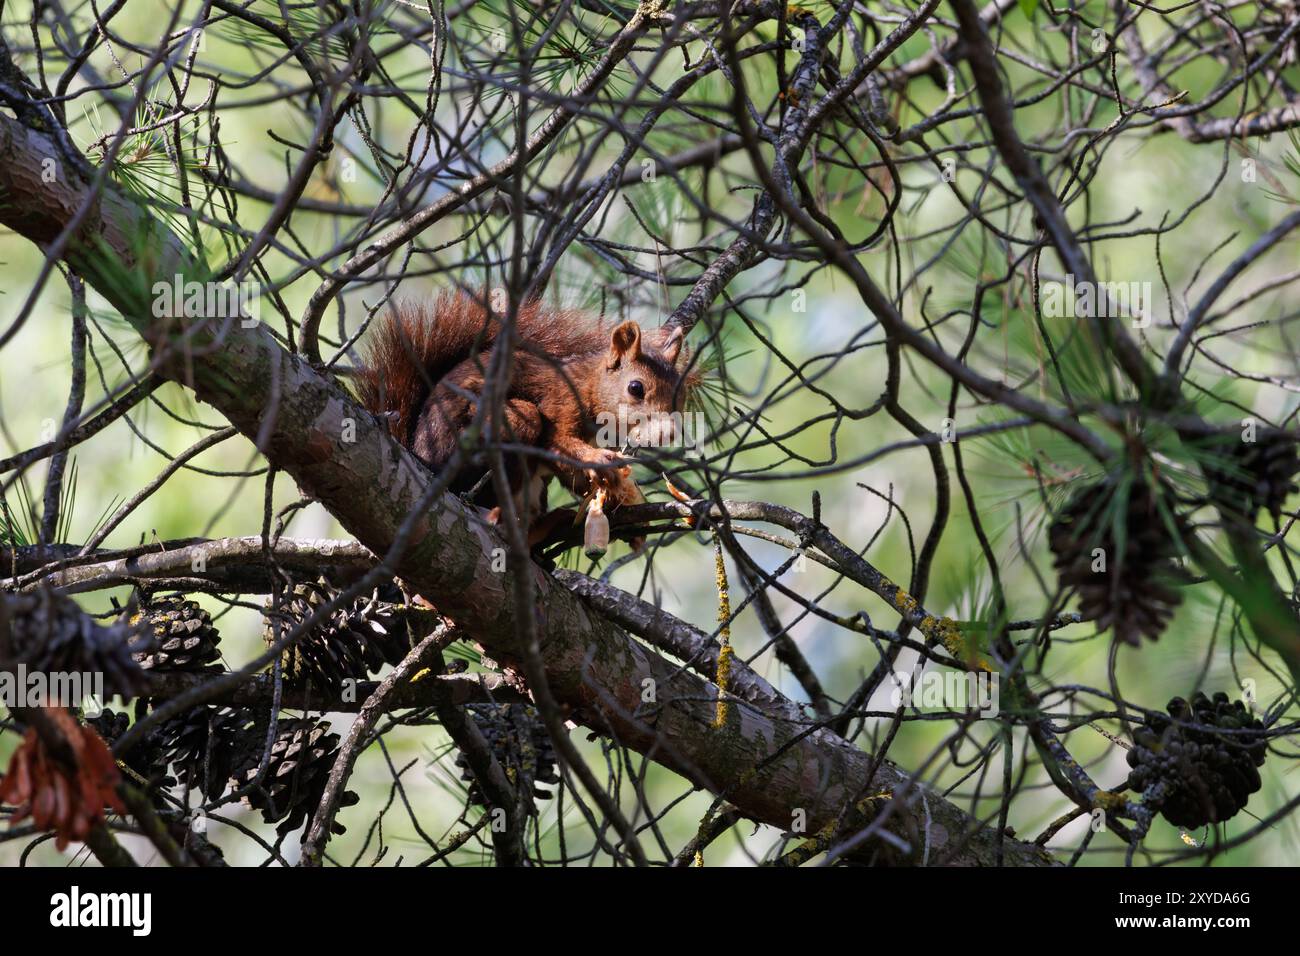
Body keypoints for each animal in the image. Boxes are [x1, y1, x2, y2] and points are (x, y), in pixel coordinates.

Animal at [355, 290, 694, 541]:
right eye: (636, 388)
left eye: (681, 396)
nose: (668, 433)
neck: (589, 385)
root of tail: (420, 453)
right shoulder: (560, 401)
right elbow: (558, 441)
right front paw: (599, 460)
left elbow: (570, 474)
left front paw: (618, 498)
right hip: (487, 431)